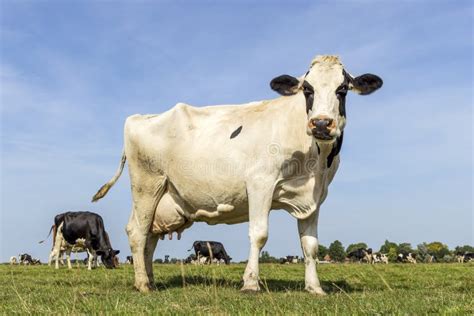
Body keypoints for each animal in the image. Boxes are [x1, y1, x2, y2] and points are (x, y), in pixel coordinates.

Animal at [91, 54, 382, 294]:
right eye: (307, 89)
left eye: (342, 89)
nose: (321, 123)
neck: (314, 160)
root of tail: (141, 117)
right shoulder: (260, 183)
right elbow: (259, 233)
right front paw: (251, 283)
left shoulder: (314, 196)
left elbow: (310, 244)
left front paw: (315, 288)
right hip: (146, 184)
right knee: (137, 232)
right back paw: (142, 284)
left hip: (161, 196)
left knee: (149, 237)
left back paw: (149, 280)